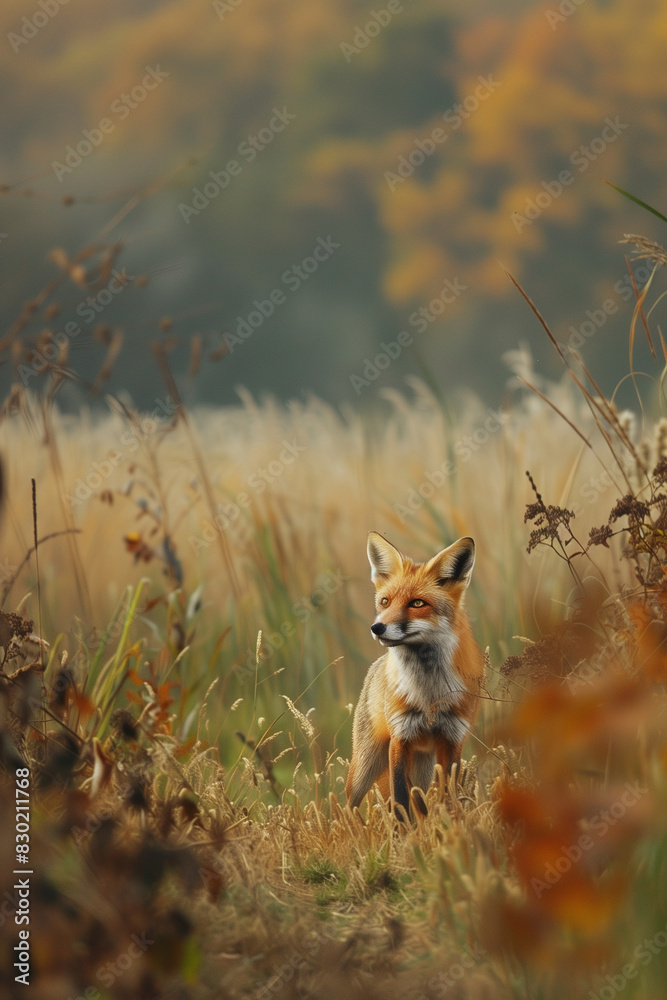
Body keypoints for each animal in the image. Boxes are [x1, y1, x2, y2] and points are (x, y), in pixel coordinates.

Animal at [346, 531, 484, 819]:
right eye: (385, 602)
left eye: (417, 603)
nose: (377, 627)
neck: (428, 696)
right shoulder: (400, 738)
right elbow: (400, 799)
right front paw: (405, 830)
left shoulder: (453, 739)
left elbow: (446, 796)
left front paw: (448, 824)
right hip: (365, 766)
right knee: (347, 807)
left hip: (422, 765)